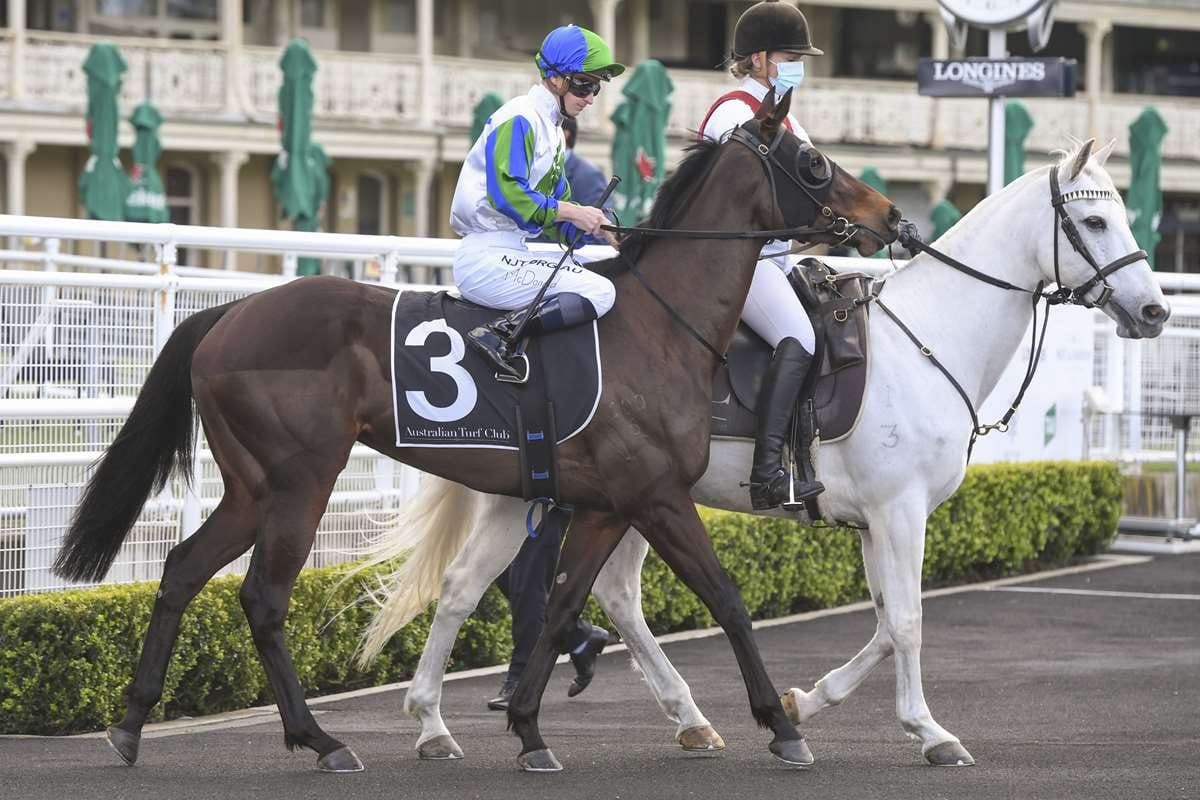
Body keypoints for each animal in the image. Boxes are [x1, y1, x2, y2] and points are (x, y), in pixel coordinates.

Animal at [51, 90, 901, 773]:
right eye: (813, 161)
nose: (890, 217)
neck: (660, 326)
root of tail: (227, 314)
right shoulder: (656, 496)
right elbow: (725, 598)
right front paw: (780, 724)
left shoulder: (608, 505)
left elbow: (559, 606)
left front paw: (528, 728)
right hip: (301, 481)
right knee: (262, 596)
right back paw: (321, 741)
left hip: (253, 487)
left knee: (183, 569)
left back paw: (132, 725)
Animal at [356, 137, 1169, 768]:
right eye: (1094, 218)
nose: (1156, 310)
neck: (927, 340)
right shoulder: (899, 512)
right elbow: (906, 623)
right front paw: (928, 732)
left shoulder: (876, 522)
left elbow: (884, 622)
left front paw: (804, 702)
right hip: (617, 496)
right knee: (546, 590)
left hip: (570, 494)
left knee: (503, 587)